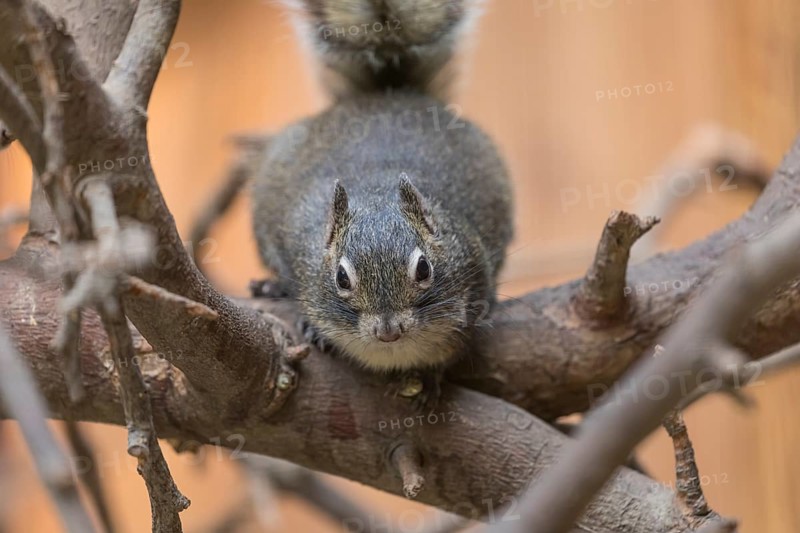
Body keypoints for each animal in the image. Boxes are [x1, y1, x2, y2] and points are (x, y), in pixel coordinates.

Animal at [251, 0, 513, 407]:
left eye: (424, 268)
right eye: (341, 278)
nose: (388, 330)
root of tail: (388, 93)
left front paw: (430, 377)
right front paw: (313, 328)